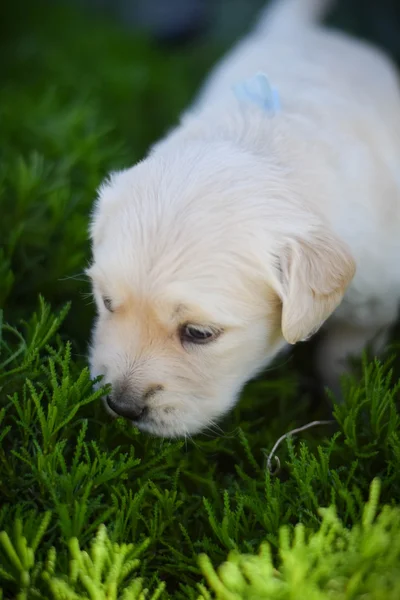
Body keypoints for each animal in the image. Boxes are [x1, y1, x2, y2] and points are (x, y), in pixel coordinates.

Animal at [87, 0, 400, 436]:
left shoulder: (375, 301)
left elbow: (343, 356)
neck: (262, 147)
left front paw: (346, 409)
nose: (121, 406)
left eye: (199, 334)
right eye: (107, 302)